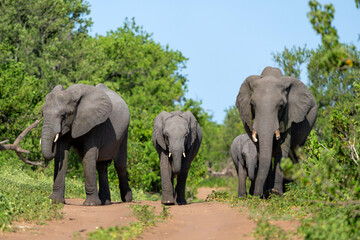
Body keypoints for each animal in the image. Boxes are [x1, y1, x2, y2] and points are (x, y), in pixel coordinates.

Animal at [236, 67, 318, 197]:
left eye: (281, 106)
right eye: (252, 105)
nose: (257, 195)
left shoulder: (289, 117)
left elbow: (282, 150)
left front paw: (276, 193)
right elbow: (262, 152)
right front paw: (265, 194)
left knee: (295, 153)